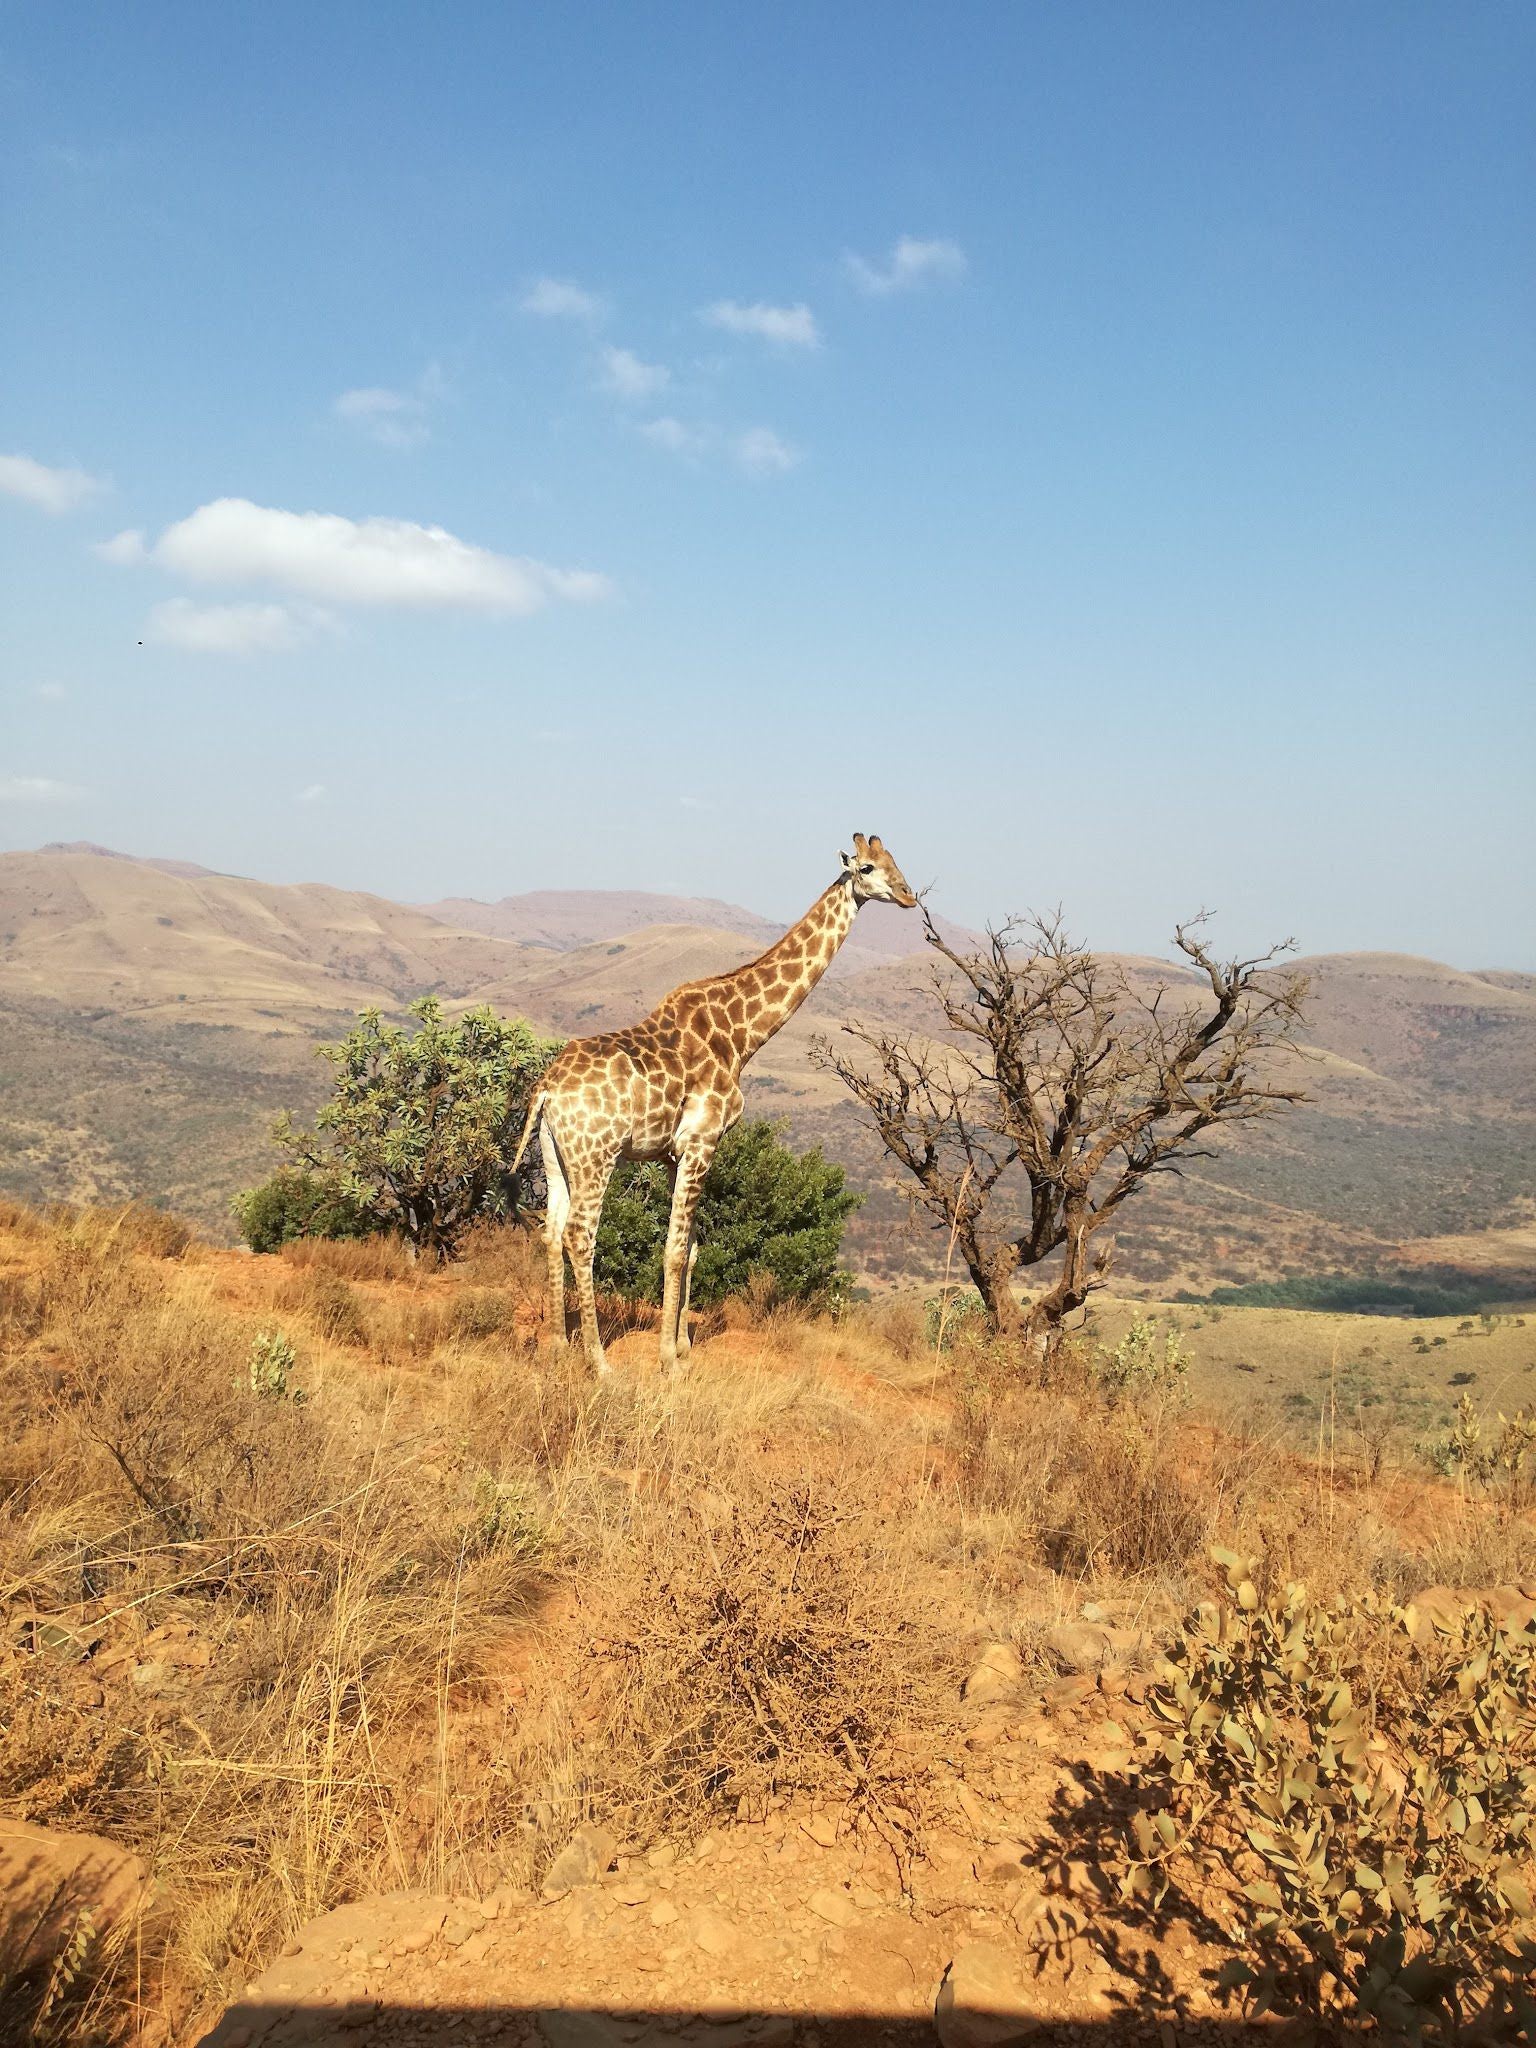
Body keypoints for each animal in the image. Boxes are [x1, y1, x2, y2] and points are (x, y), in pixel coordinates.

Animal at [512, 831, 921, 1376]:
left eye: (897, 861)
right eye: (869, 868)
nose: (909, 896)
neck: (742, 1037)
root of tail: (547, 1088)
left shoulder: (673, 1153)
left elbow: (692, 1249)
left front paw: (684, 1344)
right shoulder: (702, 1142)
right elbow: (674, 1249)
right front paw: (669, 1359)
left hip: (556, 1154)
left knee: (551, 1230)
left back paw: (559, 1345)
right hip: (596, 1155)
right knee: (581, 1235)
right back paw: (599, 1362)